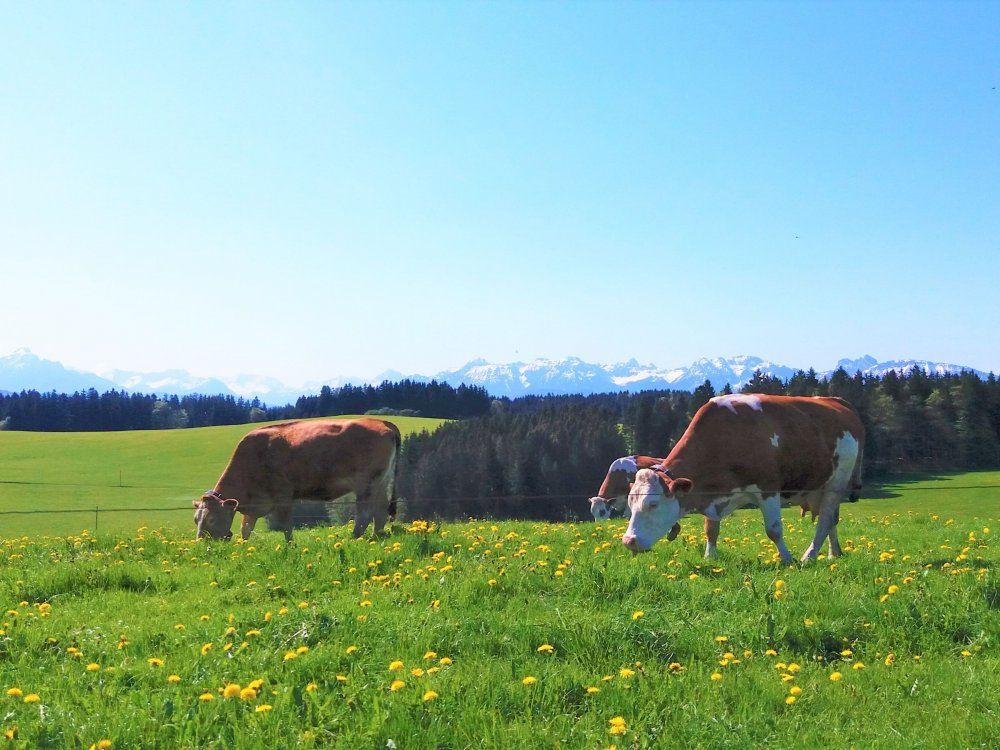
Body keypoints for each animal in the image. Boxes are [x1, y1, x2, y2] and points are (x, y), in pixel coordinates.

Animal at [193, 417, 401, 542]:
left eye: (211, 519)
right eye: (196, 519)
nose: (202, 543)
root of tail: (380, 421)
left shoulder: (283, 495)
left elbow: (286, 525)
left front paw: (289, 546)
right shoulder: (255, 504)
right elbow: (246, 529)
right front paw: (244, 549)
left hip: (367, 484)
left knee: (365, 514)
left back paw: (354, 538)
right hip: (382, 481)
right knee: (380, 511)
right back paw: (376, 537)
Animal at [621, 394, 864, 563]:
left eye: (653, 504)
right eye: (630, 505)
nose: (628, 541)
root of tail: (835, 400)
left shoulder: (768, 488)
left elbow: (774, 530)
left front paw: (787, 559)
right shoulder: (713, 495)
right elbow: (711, 529)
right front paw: (710, 557)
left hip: (836, 483)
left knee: (825, 520)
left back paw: (810, 556)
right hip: (819, 487)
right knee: (831, 519)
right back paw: (834, 553)